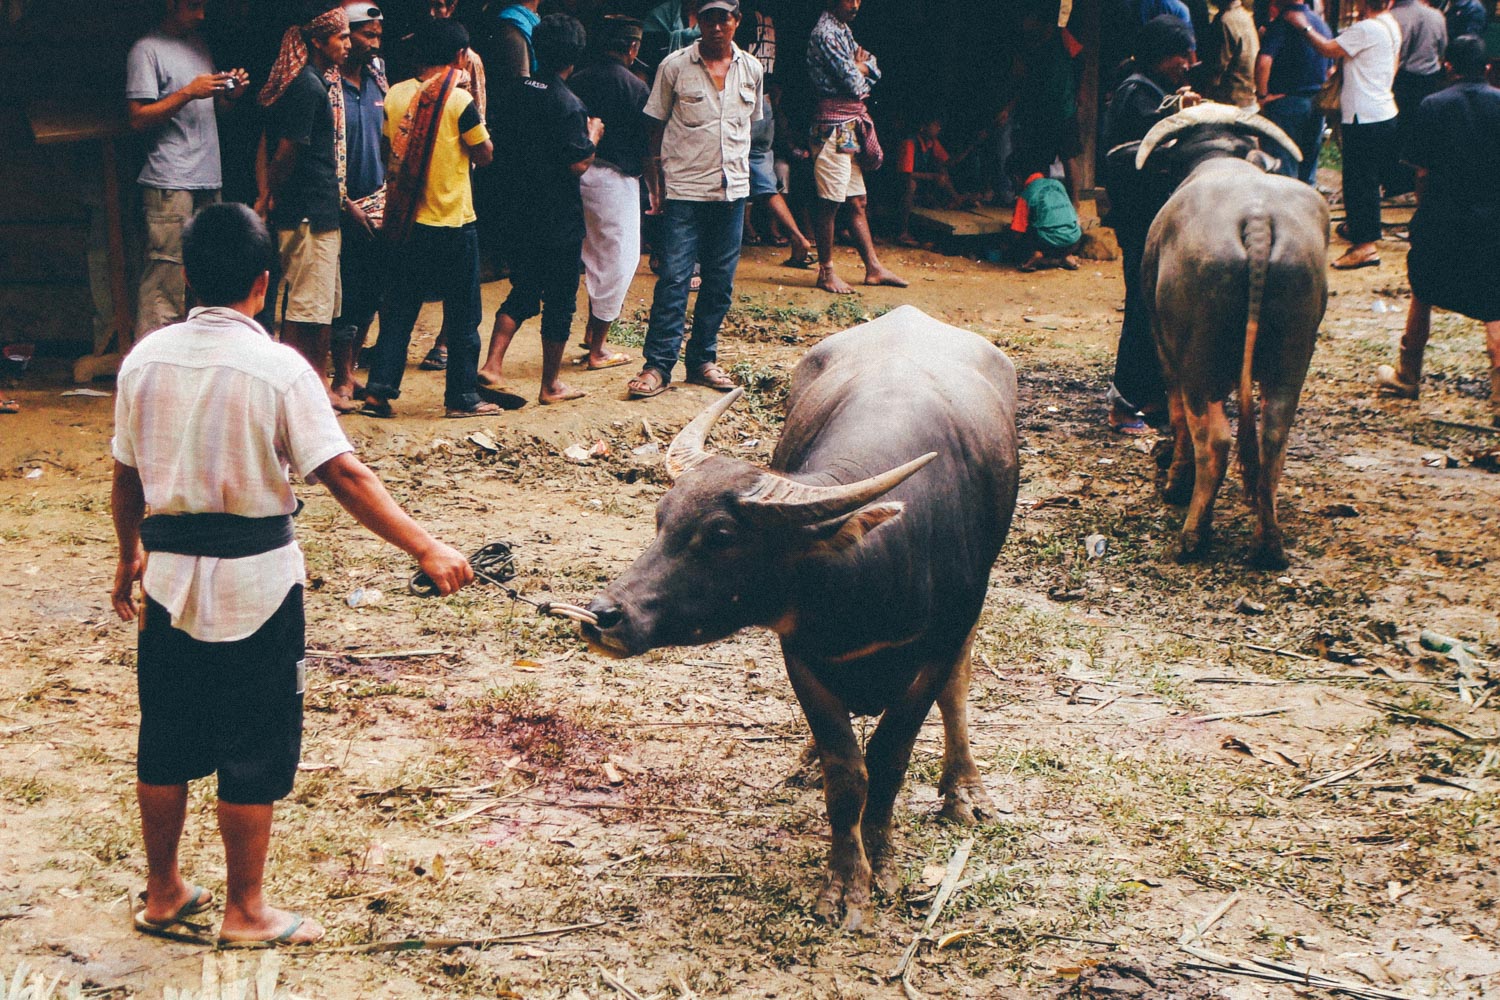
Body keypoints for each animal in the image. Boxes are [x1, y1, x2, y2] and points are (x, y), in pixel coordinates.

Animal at [585, 305, 1020, 929]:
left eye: (721, 536)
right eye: (661, 518)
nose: (602, 615)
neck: (868, 577)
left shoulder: (936, 647)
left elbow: (891, 755)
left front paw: (881, 859)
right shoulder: (803, 657)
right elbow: (847, 772)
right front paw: (845, 882)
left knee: (958, 689)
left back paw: (965, 789)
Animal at [1134, 104, 1326, 569]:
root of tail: (1257, 221)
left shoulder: (1167, 350)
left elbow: (1178, 417)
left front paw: (1175, 480)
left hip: (1198, 363)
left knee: (1215, 440)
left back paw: (1192, 536)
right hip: (1292, 355)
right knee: (1273, 435)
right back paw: (1268, 543)